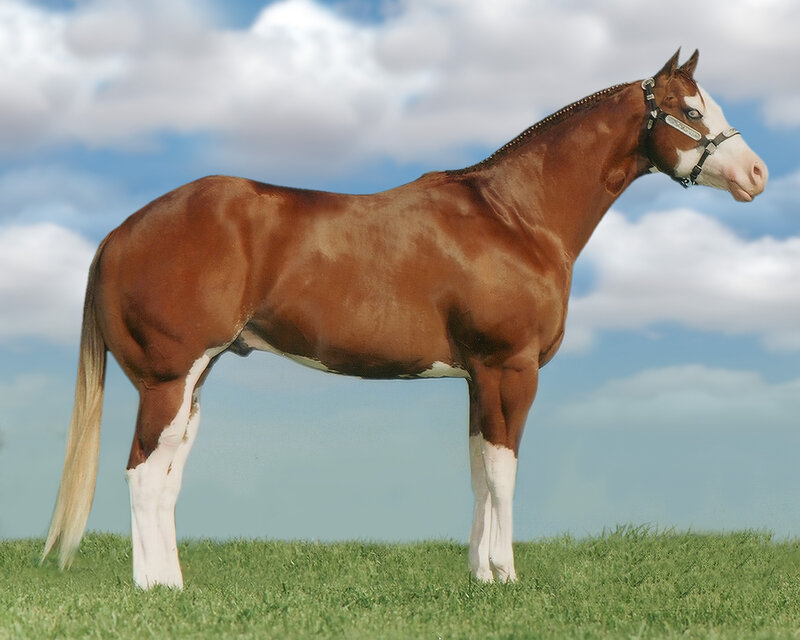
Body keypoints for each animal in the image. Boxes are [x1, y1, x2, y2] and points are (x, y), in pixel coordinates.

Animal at [42, 50, 767, 589]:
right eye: (692, 110)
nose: (757, 173)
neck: (516, 217)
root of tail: (119, 233)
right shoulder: (511, 368)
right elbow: (504, 470)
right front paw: (506, 574)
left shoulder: (478, 377)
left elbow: (478, 467)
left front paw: (479, 574)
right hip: (167, 377)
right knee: (143, 471)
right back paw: (155, 588)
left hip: (193, 380)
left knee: (167, 473)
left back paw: (172, 580)